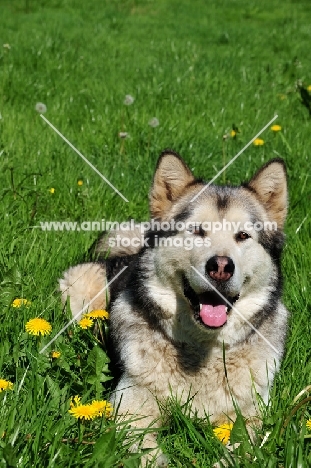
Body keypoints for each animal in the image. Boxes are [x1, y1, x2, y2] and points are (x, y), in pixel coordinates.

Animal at [60, 150, 290, 464]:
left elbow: (239, 449)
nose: (221, 267)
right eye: (197, 231)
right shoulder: (128, 408)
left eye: (243, 236)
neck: (201, 351)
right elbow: (146, 451)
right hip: (77, 287)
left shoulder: (252, 416)